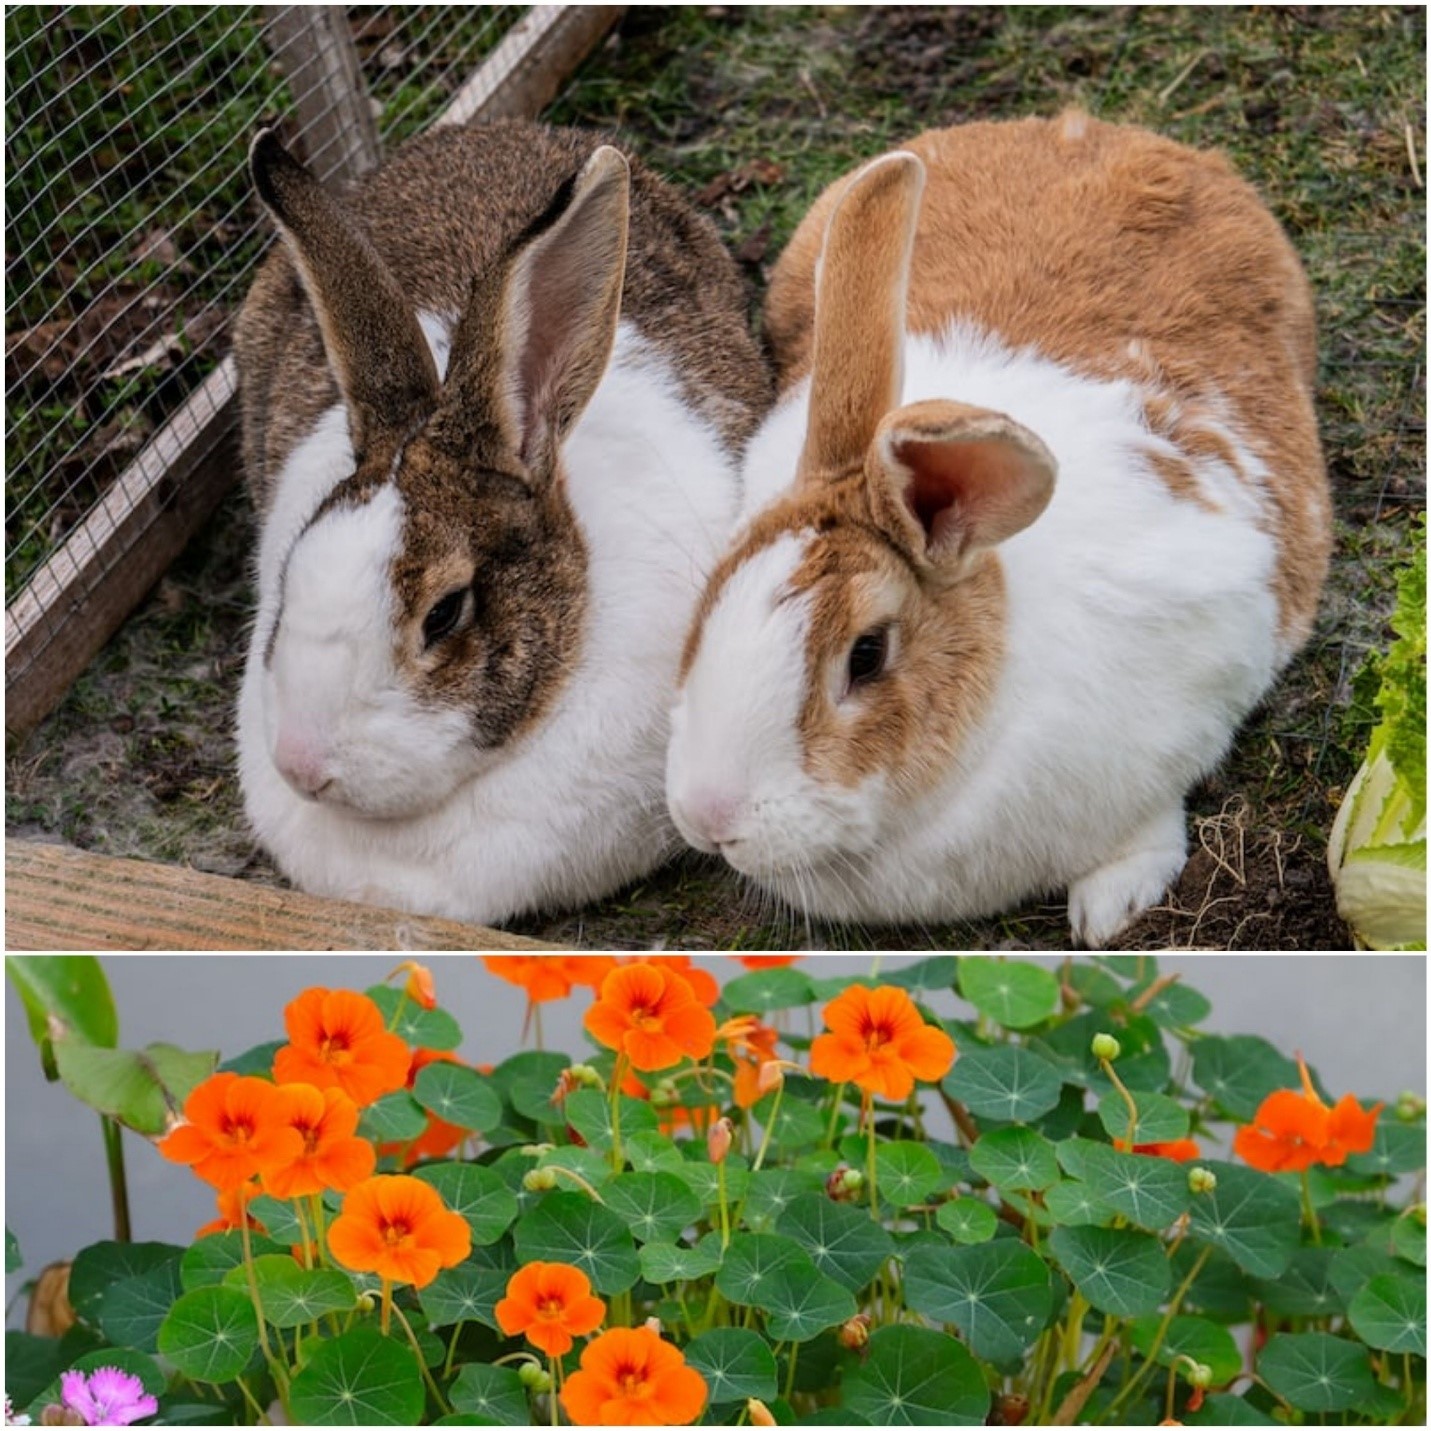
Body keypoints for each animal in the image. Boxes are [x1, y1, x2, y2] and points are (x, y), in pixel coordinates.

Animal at [667, 111, 1331, 949]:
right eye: (709, 599)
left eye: (866, 654)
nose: (707, 817)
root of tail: (1095, 130)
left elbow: (1147, 823)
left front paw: (1109, 910)